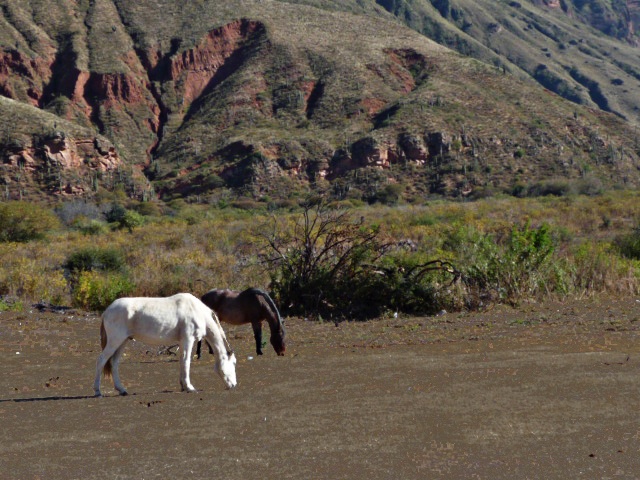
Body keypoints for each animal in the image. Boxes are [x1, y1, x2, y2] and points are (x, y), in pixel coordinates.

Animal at [92, 292, 235, 398]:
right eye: (234, 363)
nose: (233, 385)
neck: (196, 310)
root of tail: (107, 311)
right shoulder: (189, 339)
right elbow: (186, 361)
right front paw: (190, 387)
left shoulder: (182, 341)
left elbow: (182, 361)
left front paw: (183, 386)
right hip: (115, 340)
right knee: (101, 360)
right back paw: (98, 392)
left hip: (123, 341)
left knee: (114, 362)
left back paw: (122, 390)